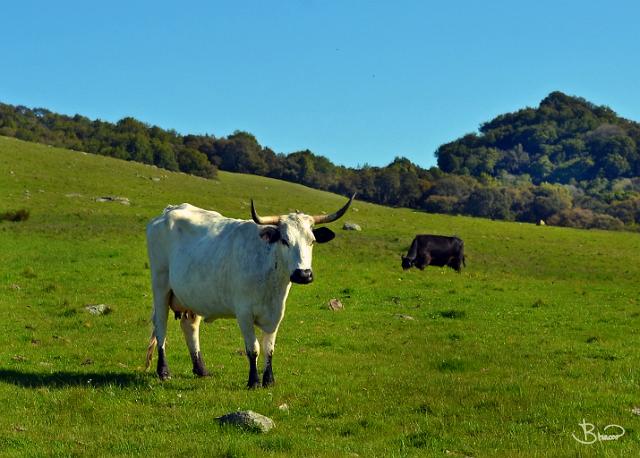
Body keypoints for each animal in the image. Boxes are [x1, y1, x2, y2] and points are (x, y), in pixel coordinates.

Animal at [146, 195, 356, 388]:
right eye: (285, 240)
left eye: (312, 241)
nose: (303, 274)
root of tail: (170, 210)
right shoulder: (244, 313)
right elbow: (253, 348)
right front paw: (253, 381)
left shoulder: (276, 314)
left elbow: (269, 348)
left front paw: (269, 380)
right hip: (160, 286)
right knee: (161, 327)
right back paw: (163, 371)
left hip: (192, 296)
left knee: (189, 326)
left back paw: (201, 370)